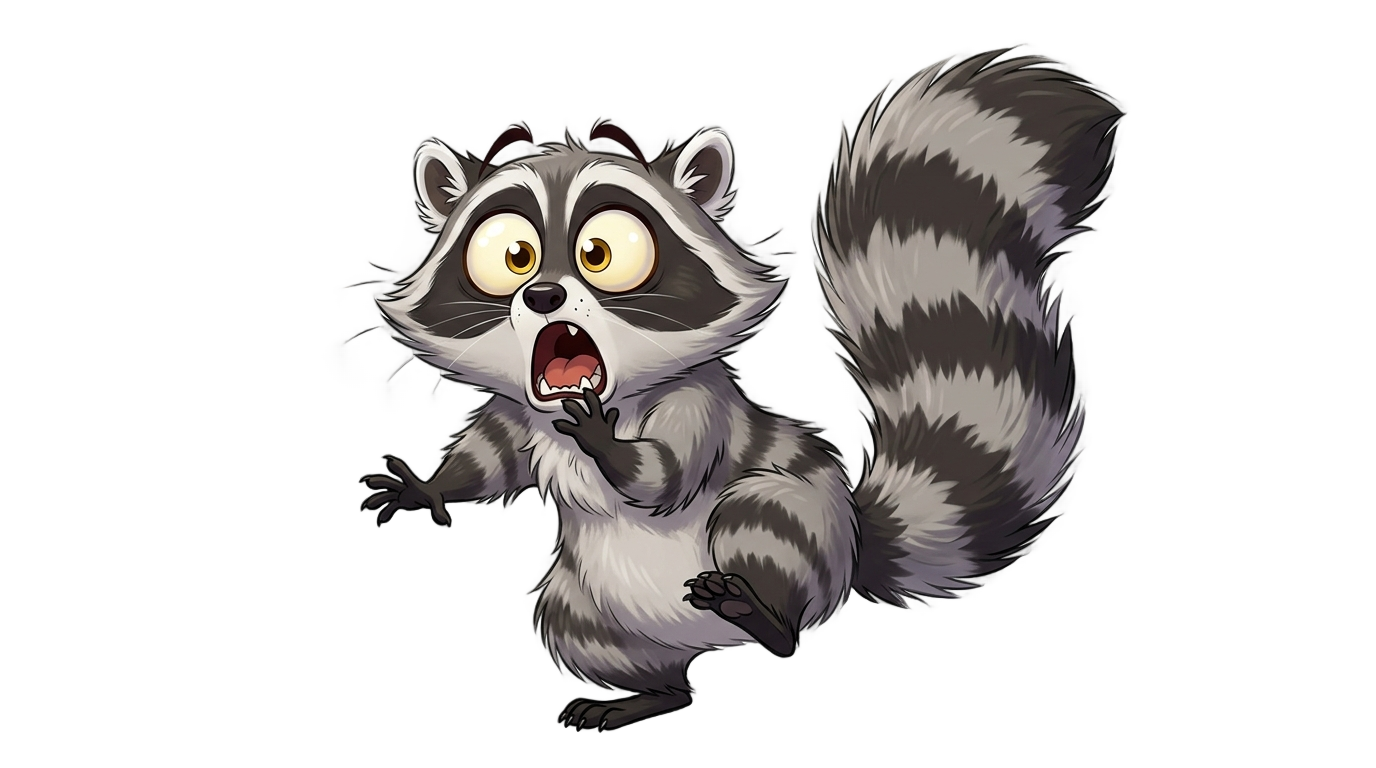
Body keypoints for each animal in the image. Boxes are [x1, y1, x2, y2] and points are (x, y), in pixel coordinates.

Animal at [360, 49, 1121, 730]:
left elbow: (668, 473)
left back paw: (768, 618)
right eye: (511, 255)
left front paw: (610, 445)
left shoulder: (695, 405)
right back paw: (652, 696)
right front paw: (432, 485)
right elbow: (493, 453)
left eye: (603, 252)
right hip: (589, 607)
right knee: (606, 639)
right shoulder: (523, 413)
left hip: (804, 524)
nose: (543, 295)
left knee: (761, 514)